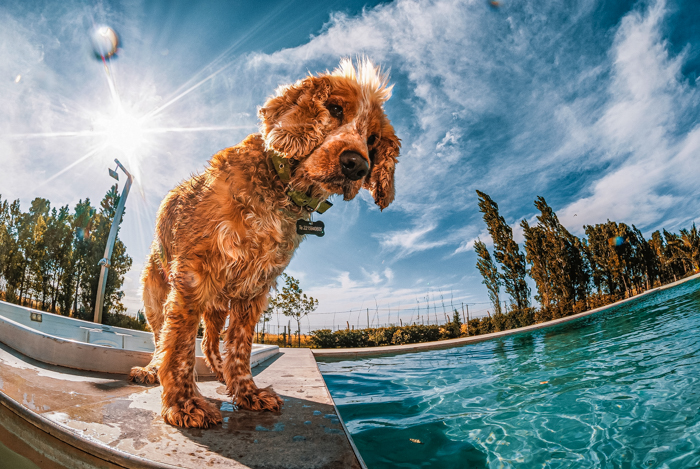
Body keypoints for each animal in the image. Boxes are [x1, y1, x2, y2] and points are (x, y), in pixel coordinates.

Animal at [127, 58, 400, 428]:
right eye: (334, 108)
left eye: (372, 139)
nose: (356, 164)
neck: (280, 191)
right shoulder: (193, 276)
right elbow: (180, 345)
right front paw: (185, 404)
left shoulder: (254, 287)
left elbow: (239, 347)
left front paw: (246, 392)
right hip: (155, 297)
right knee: (159, 340)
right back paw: (151, 370)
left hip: (217, 306)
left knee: (210, 343)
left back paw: (220, 374)